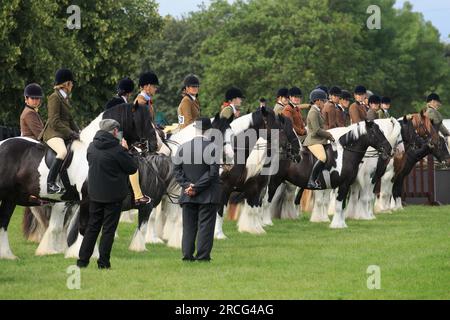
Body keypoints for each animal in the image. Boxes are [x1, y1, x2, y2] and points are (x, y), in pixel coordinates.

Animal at [0, 102, 156, 260]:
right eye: (144, 119)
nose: (155, 145)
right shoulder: (87, 198)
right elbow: (85, 226)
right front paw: (83, 253)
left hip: (10, 198)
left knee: (3, 223)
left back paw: (6, 255)